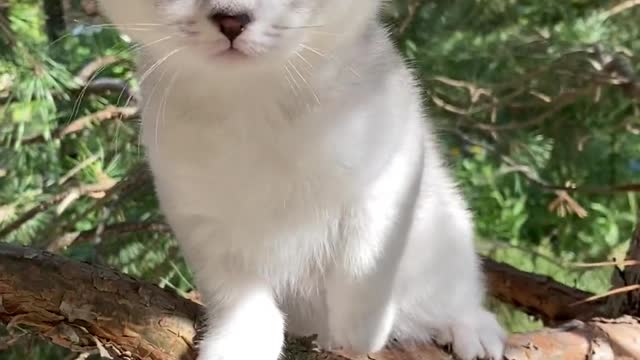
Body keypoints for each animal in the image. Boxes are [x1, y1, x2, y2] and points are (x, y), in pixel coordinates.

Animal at [99, 0, 504, 360]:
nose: (231, 19)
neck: (254, 101)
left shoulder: (391, 171)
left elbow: (367, 262)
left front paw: (361, 333)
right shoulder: (199, 216)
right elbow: (237, 290)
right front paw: (241, 342)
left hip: (445, 230)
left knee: (455, 291)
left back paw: (471, 329)